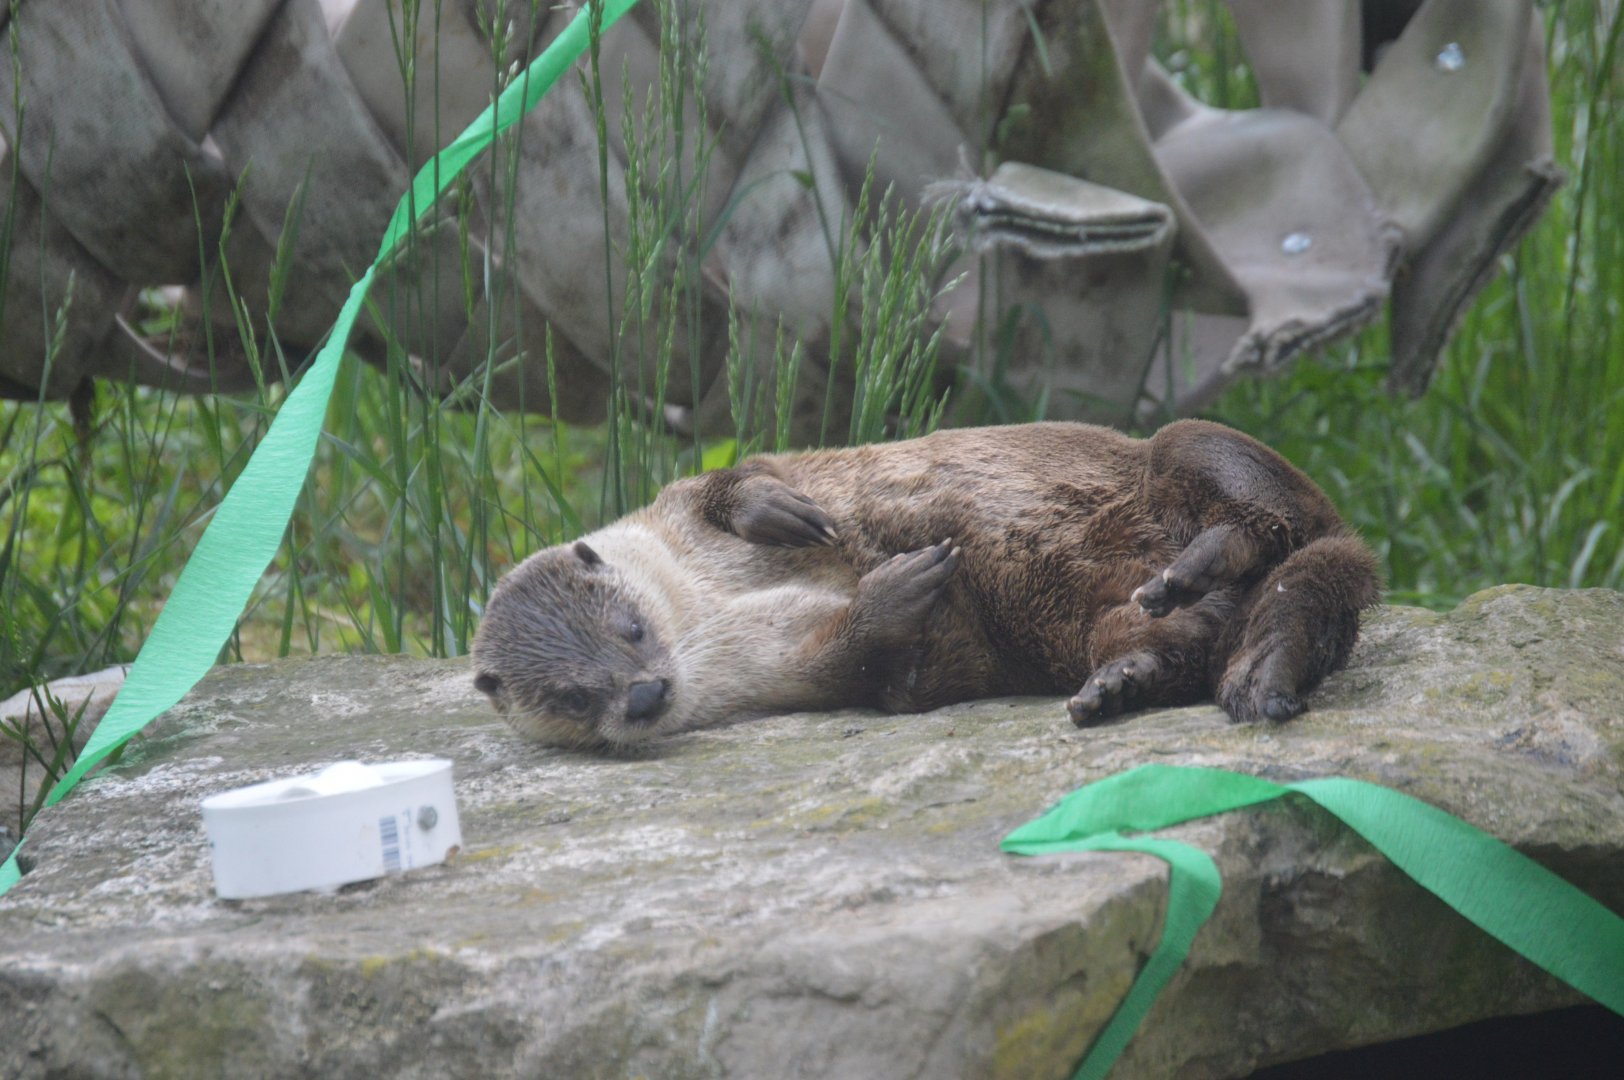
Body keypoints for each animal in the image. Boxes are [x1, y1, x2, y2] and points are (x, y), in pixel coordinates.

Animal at [471, 420, 1381, 748]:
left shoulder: (684, 504)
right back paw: (1124, 677)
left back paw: (1201, 562)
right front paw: (900, 593)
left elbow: (742, 476)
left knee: (1259, 507)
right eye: (576, 697)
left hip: (1186, 452)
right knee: (1179, 639)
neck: (702, 607)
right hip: (1110, 618)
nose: (647, 693)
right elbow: (860, 667)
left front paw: (782, 514)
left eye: (630, 627)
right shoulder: (769, 673)